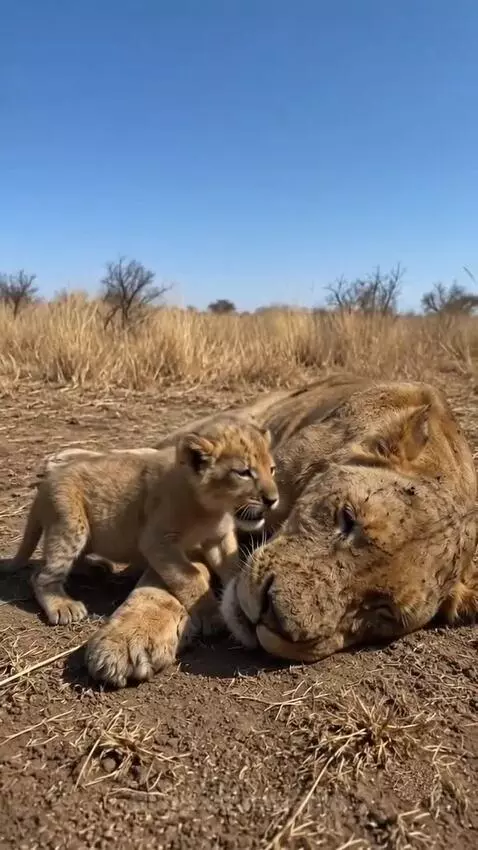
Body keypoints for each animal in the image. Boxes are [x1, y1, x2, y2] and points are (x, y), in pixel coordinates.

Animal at [8, 417, 278, 633]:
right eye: (243, 472)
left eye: (272, 469)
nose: (273, 499)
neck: (212, 509)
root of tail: (45, 485)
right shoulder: (157, 541)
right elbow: (190, 576)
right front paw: (211, 615)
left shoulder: (219, 538)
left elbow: (232, 567)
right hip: (69, 524)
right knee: (40, 575)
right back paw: (63, 605)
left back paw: (97, 567)